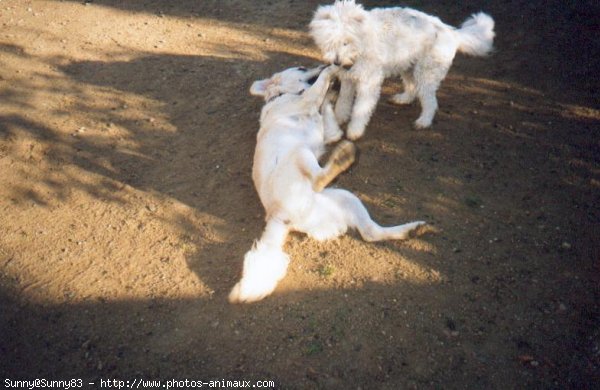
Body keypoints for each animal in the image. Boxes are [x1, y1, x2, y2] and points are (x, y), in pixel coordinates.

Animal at [227, 65, 424, 304]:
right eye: (301, 68)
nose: (318, 64)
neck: (287, 95)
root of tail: (278, 216)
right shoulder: (306, 100)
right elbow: (320, 85)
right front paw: (331, 71)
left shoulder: (329, 131)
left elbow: (330, 119)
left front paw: (331, 92)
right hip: (300, 153)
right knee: (319, 178)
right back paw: (342, 159)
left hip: (346, 197)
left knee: (370, 233)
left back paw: (411, 230)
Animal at [310, 0, 496, 139]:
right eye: (330, 42)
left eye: (346, 42)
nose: (337, 62)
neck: (361, 44)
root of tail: (452, 33)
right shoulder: (348, 79)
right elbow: (343, 102)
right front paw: (339, 118)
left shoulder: (369, 83)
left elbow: (360, 109)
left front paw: (354, 130)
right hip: (407, 66)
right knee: (412, 88)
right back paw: (403, 99)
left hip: (426, 74)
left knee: (430, 102)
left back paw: (424, 121)